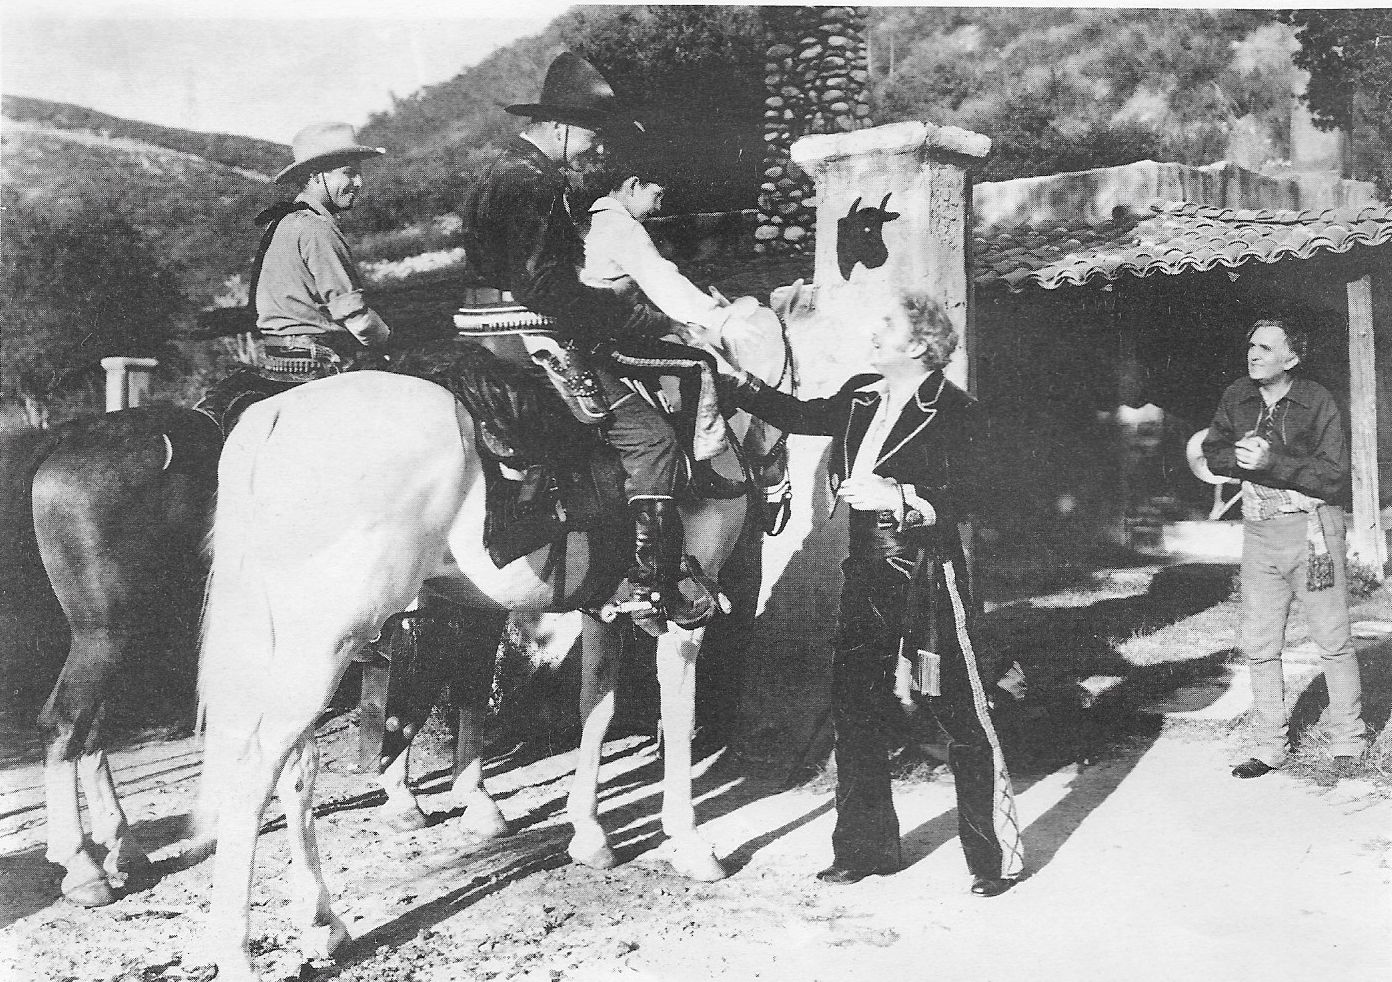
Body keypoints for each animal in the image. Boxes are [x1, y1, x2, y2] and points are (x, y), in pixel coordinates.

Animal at [196, 316, 796, 980]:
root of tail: (276, 414)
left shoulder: (604, 612)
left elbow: (596, 710)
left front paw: (588, 834)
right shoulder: (682, 620)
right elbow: (678, 718)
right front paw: (689, 844)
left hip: (301, 652)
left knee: (297, 770)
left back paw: (323, 924)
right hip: (327, 645)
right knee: (255, 772)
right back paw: (236, 951)